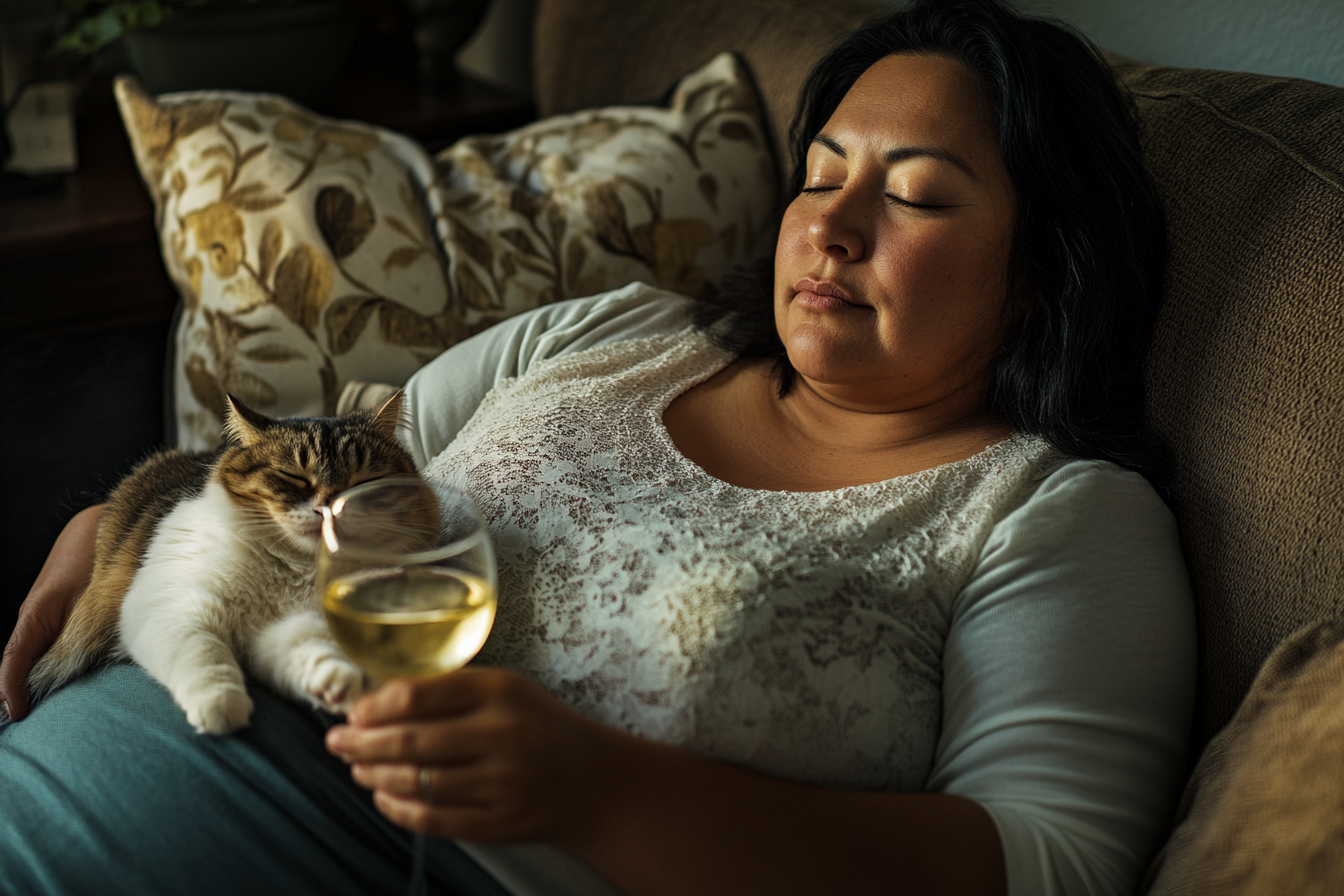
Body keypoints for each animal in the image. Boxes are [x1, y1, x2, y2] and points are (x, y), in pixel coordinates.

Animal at [23, 392, 438, 736]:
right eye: (293, 477)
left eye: (363, 481)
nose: (329, 509)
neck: (294, 569)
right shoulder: (172, 608)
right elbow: (205, 655)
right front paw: (221, 707)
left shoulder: (287, 630)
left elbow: (313, 653)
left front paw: (337, 684)